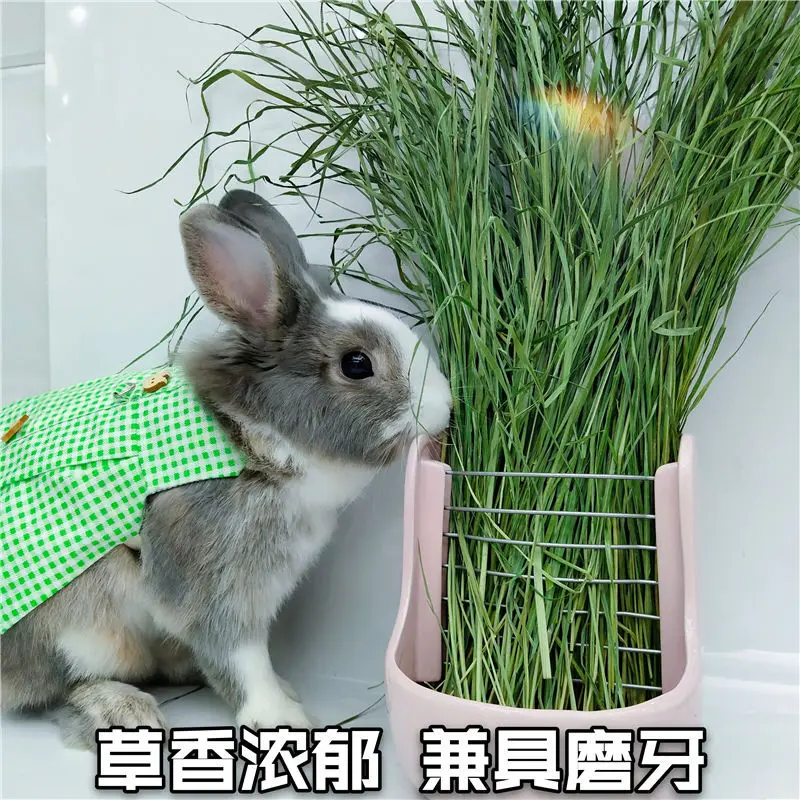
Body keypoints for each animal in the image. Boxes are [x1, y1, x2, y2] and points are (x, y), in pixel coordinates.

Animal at [0, 188, 453, 750]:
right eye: (356, 364)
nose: (445, 407)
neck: (251, 436)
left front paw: (284, 692)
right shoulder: (216, 582)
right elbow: (238, 655)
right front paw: (281, 719)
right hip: (81, 626)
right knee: (62, 686)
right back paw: (122, 711)